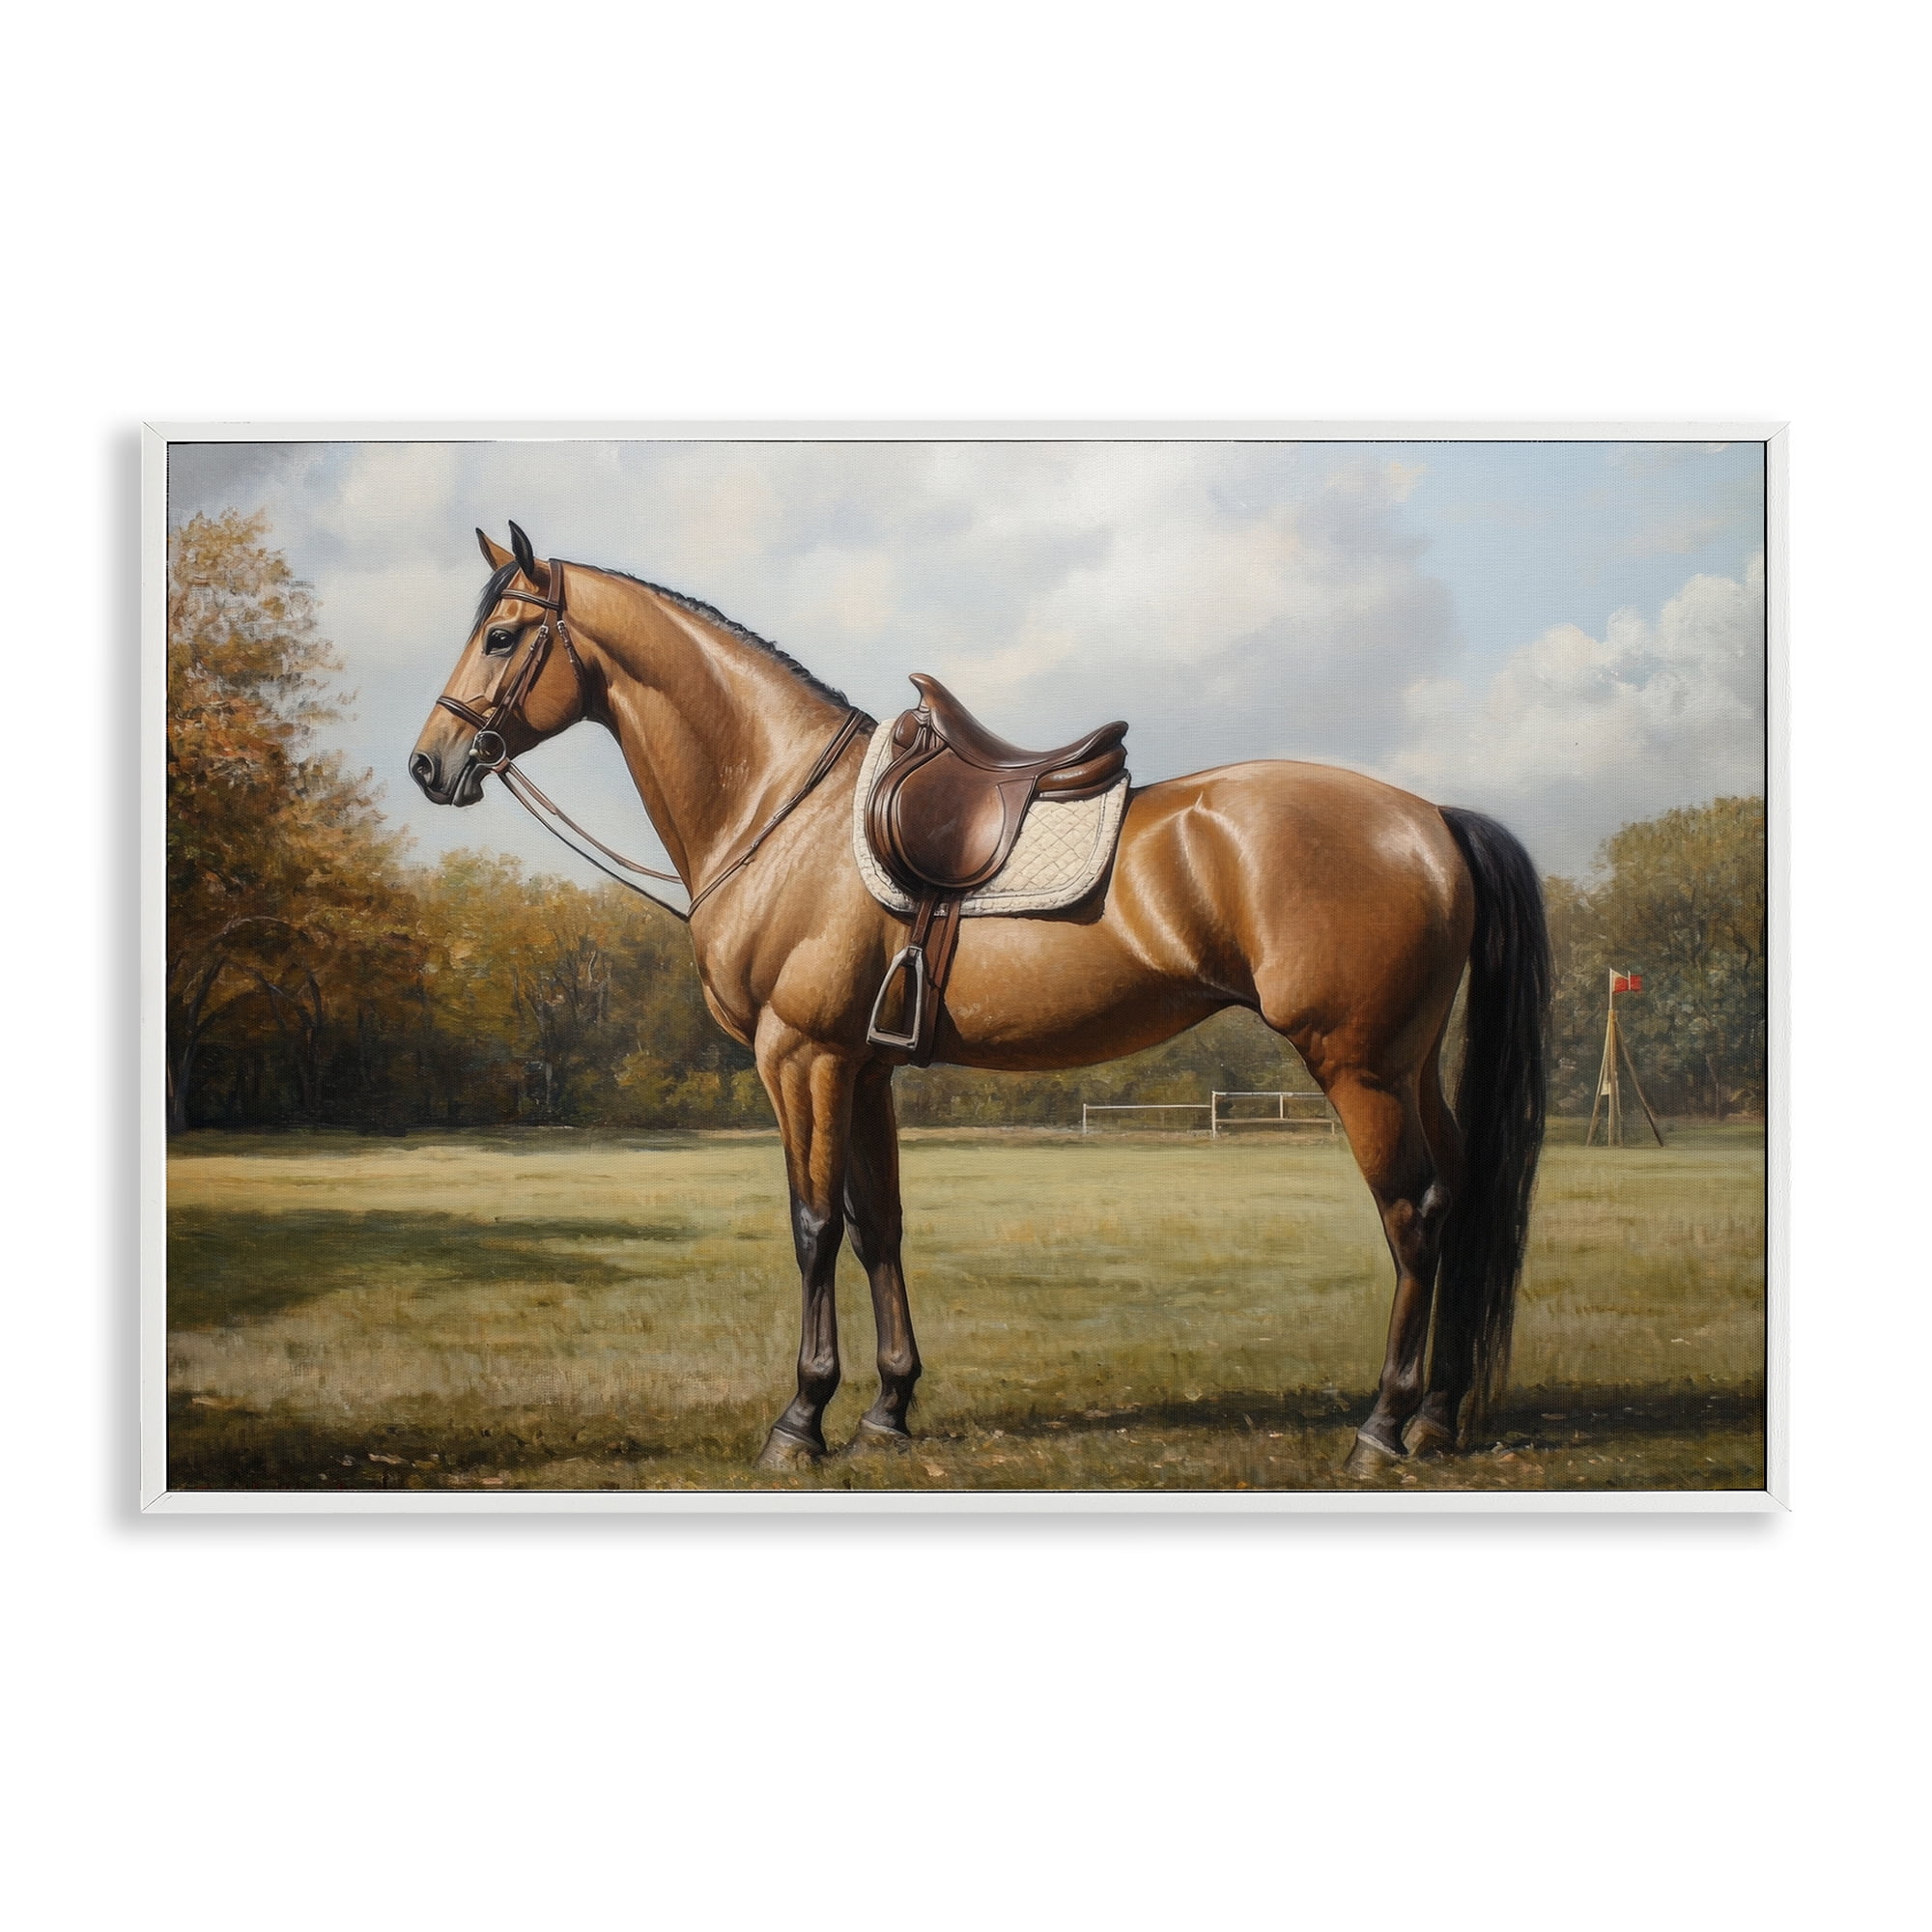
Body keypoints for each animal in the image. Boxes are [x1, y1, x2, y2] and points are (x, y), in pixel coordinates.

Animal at [411, 524, 1550, 1478]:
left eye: (503, 635)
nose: (431, 763)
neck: (784, 810)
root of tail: (1429, 819)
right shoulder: (863, 1067)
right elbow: (877, 1226)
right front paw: (887, 1409)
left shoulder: (800, 1056)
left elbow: (812, 1225)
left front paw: (800, 1420)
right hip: (1408, 1065)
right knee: (1458, 1196)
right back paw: (1436, 1416)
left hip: (1356, 1067)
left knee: (1411, 1214)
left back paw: (1379, 1427)